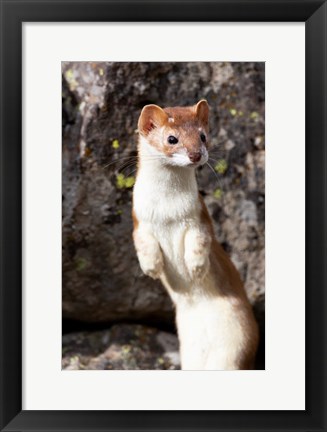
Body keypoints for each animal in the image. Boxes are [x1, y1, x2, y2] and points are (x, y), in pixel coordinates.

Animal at [133, 99, 258, 370]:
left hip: (238, 340)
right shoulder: (139, 219)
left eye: (203, 135)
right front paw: (152, 267)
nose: (195, 154)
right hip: (189, 351)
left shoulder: (198, 216)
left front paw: (196, 268)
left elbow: (200, 241)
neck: (167, 211)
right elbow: (143, 243)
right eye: (172, 138)